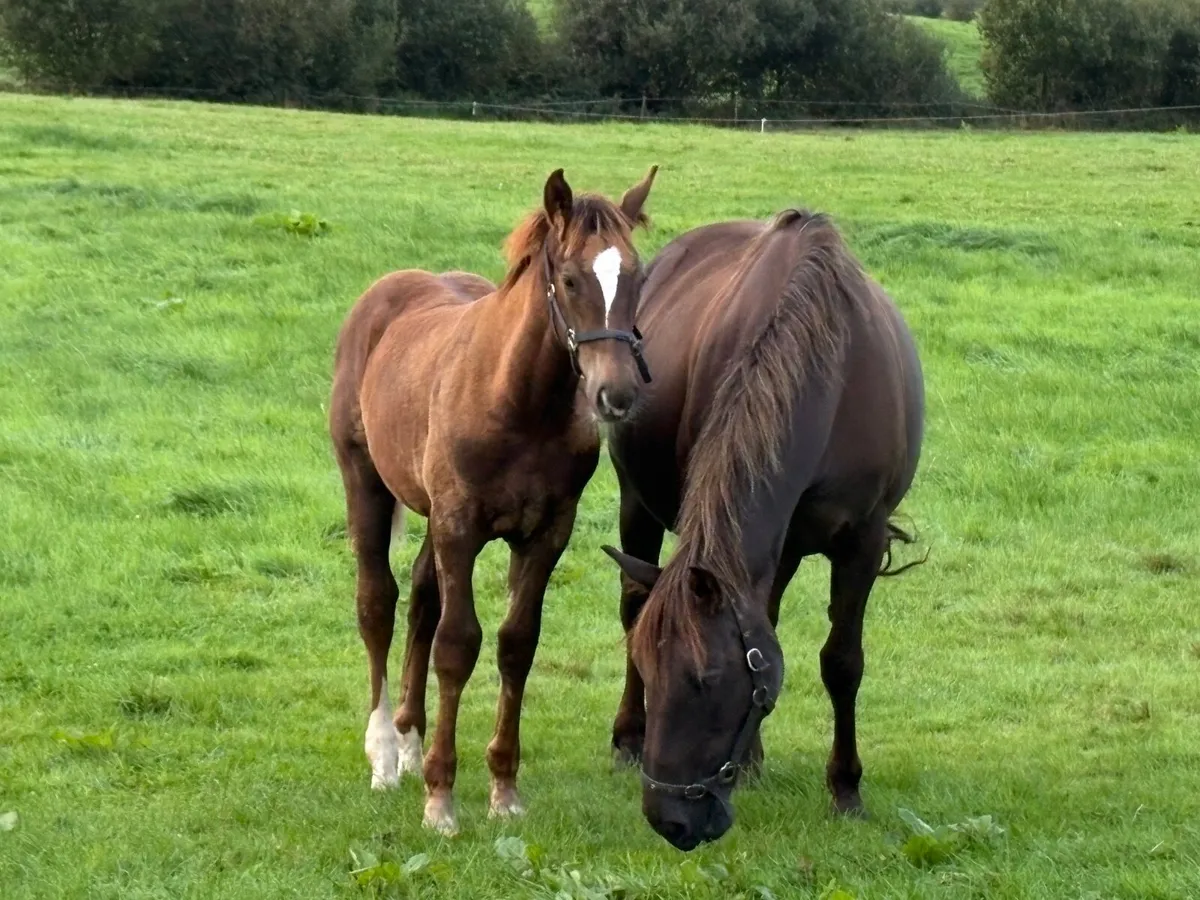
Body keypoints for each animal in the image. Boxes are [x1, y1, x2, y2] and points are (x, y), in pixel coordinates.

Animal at [329, 165, 659, 834]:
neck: (519, 403)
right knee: (378, 604)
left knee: (420, 600)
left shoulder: (545, 534)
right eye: (570, 278)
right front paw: (441, 799)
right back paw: (385, 755)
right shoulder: (460, 527)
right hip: (366, 484)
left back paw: (409, 739)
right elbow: (458, 645)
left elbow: (515, 645)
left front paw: (503, 789)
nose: (615, 394)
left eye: (636, 275)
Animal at [600, 208, 925, 851]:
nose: (669, 819)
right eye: (649, 669)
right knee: (632, 602)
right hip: (637, 504)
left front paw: (845, 789)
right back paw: (632, 738)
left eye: (705, 679)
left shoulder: (862, 539)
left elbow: (842, 662)